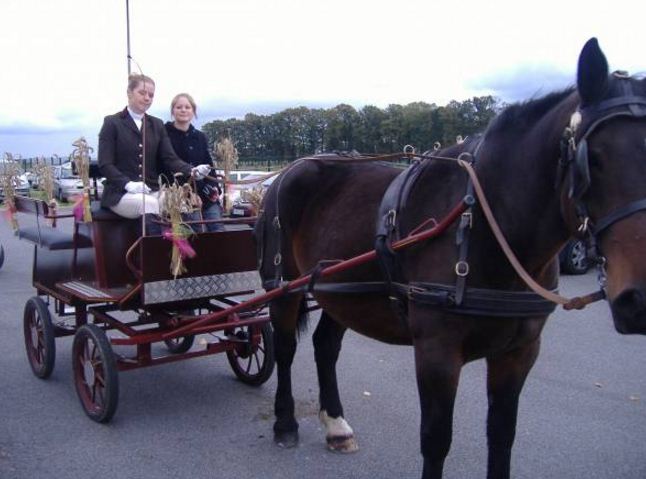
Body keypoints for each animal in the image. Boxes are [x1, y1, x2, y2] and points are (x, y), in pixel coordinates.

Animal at [253, 38, 646, 479]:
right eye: (592, 159)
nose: (640, 300)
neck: (487, 224)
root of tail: (288, 172)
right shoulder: (437, 353)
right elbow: (437, 440)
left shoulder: (519, 352)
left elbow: (502, 435)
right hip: (284, 286)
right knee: (286, 347)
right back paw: (285, 422)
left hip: (342, 290)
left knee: (325, 346)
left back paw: (336, 425)